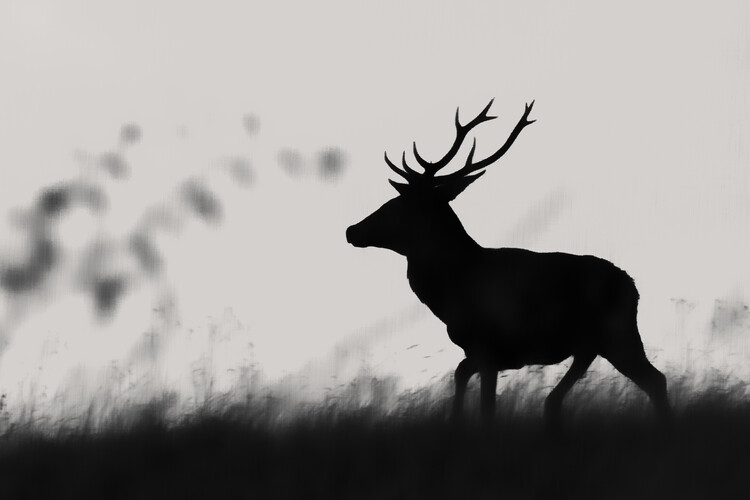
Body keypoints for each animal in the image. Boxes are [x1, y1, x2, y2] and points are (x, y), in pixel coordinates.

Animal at [346, 99, 671, 430]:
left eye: (396, 204)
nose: (351, 230)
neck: (451, 289)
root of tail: (633, 287)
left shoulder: (490, 345)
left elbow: (487, 407)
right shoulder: (479, 351)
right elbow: (460, 373)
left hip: (617, 334)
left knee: (654, 380)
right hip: (597, 343)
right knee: (587, 392)